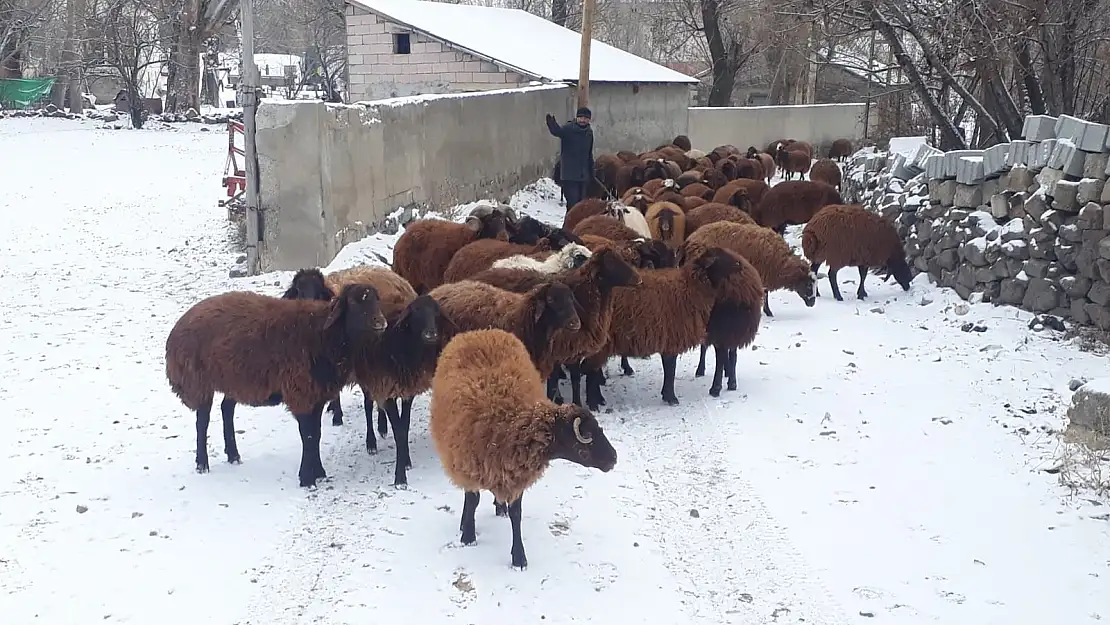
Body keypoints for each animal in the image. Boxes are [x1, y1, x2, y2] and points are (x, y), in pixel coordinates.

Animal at [164, 284, 390, 488]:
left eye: (376, 299)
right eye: (354, 301)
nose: (381, 322)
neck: (323, 336)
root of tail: (180, 324)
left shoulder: (316, 396)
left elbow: (316, 435)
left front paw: (319, 472)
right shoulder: (300, 393)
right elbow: (308, 436)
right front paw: (307, 479)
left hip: (234, 380)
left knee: (226, 409)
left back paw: (234, 455)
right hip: (199, 381)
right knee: (202, 421)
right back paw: (202, 464)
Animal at [426, 330, 617, 568]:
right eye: (588, 440)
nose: (613, 458)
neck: (511, 423)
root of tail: (480, 331)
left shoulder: (516, 473)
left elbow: (516, 514)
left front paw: (519, 558)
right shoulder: (468, 463)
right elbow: (472, 500)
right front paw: (468, 535)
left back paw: (499, 507)